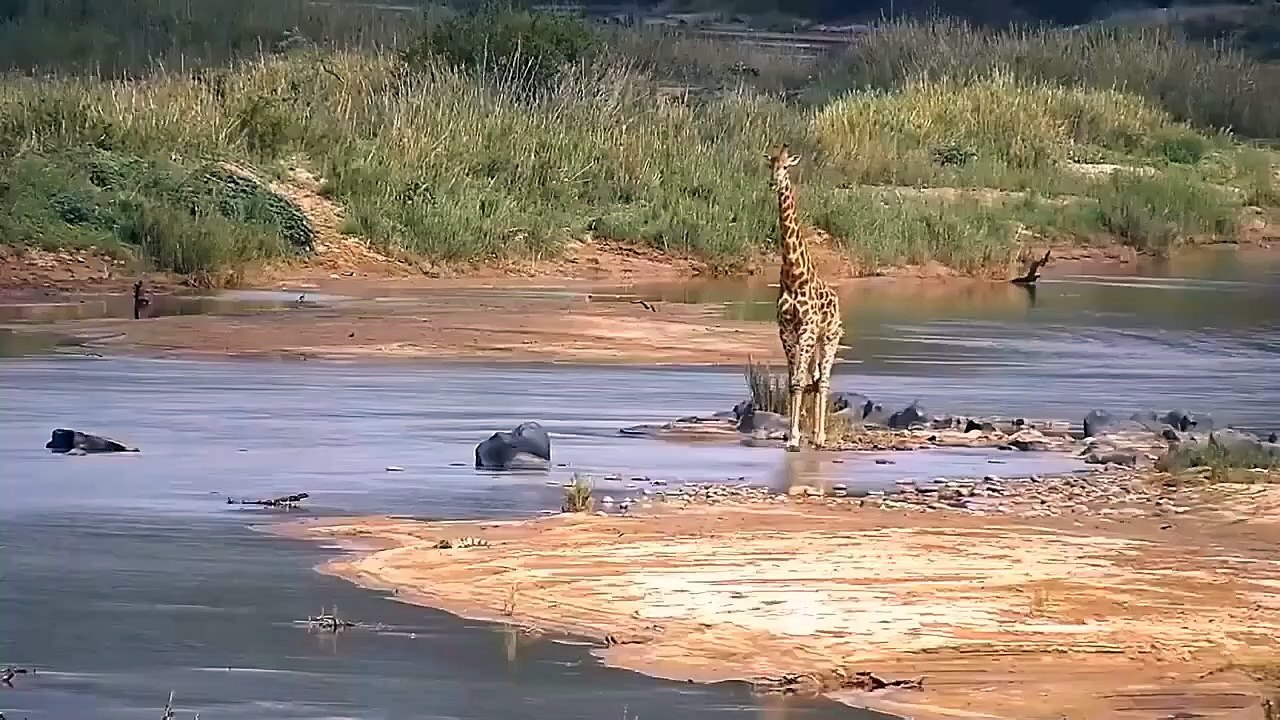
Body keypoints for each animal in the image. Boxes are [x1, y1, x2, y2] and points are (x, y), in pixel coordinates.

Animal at [765, 144, 843, 452]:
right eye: (770, 165)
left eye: (787, 167)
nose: (773, 182)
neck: (793, 274)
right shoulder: (786, 329)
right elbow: (794, 382)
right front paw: (793, 436)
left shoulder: (808, 328)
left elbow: (801, 381)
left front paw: (796, 438)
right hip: (813, 340)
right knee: (815, 378)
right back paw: (813, 434)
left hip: (829, 337)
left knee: (823, 381)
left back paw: (820, 437)